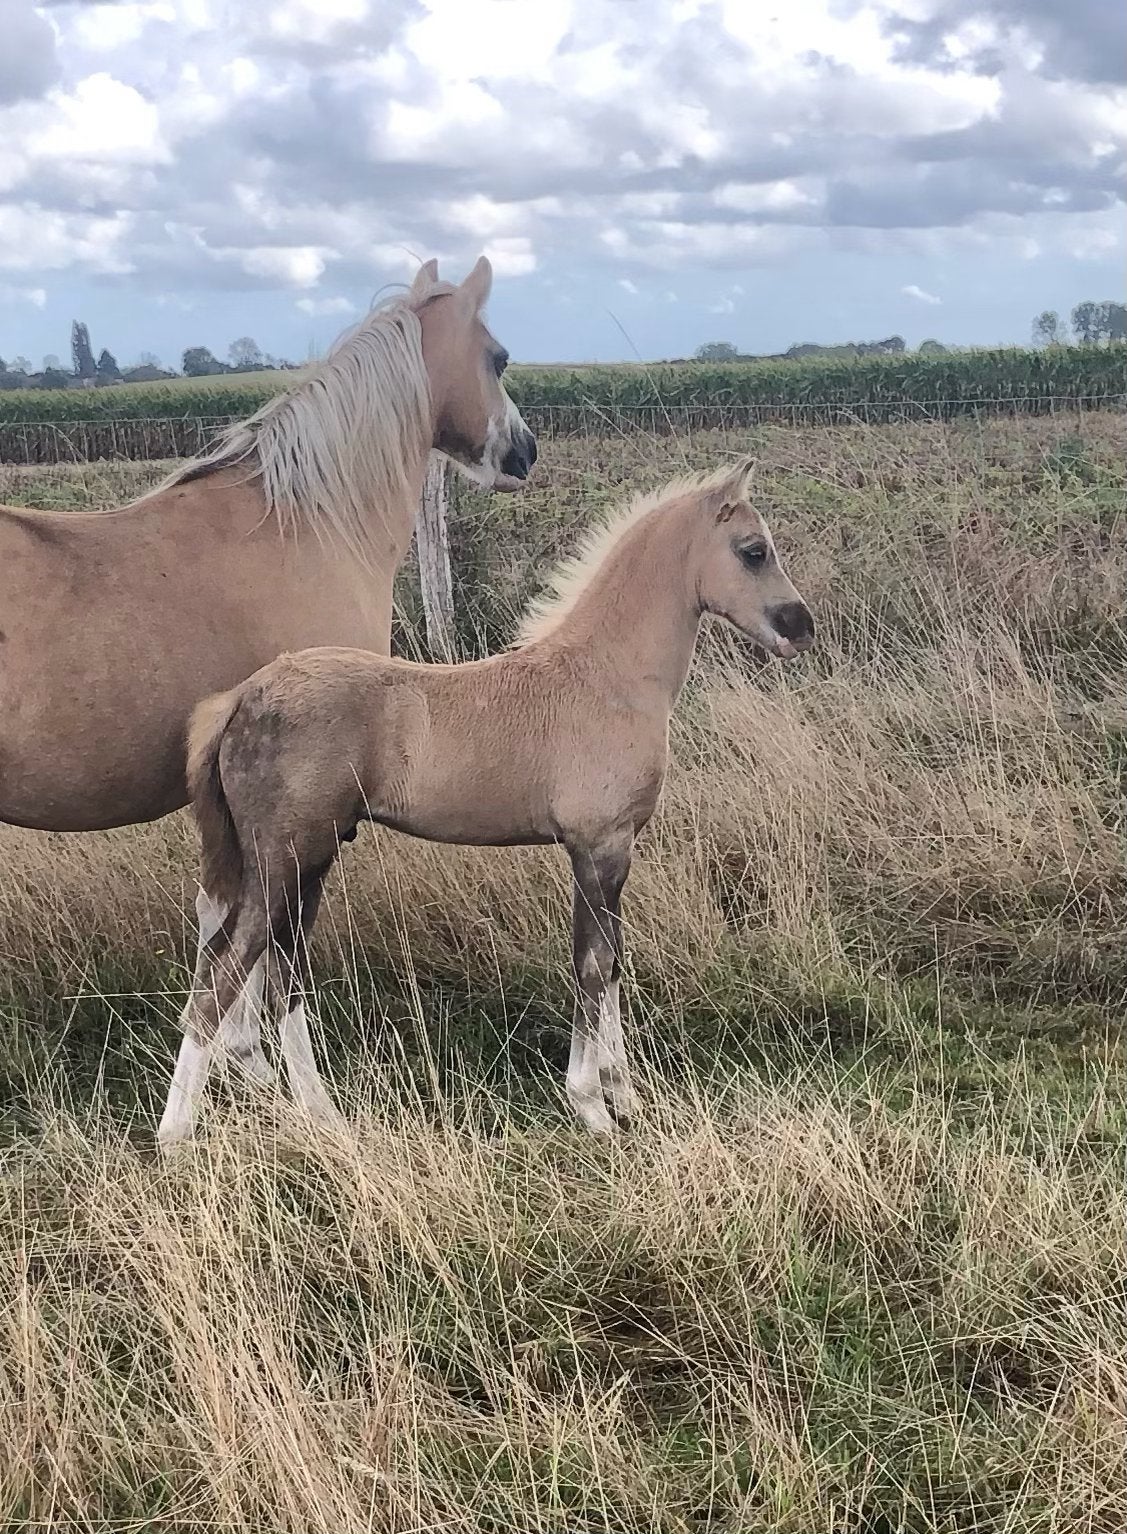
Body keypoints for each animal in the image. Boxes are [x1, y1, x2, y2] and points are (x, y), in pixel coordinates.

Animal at [0, 254, 537, 1138]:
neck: (304, 523)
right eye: (497, 358)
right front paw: (276, 1084)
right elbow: (265, 955)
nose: (524, 452)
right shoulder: (297, 809)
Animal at [165, 458, 814, 1147]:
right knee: (219, 980)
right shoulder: (598, 846)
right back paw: (176, 1136)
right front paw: (591, 1106)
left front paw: (626, 1097)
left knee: (275, 979)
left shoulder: (611, 852)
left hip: (306, 863)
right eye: (753, 550)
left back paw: (323, 1117)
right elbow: (592, 964)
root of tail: (241, 698)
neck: (607, 677)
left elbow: (612, 964)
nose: (801, 627)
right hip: (283, 862)